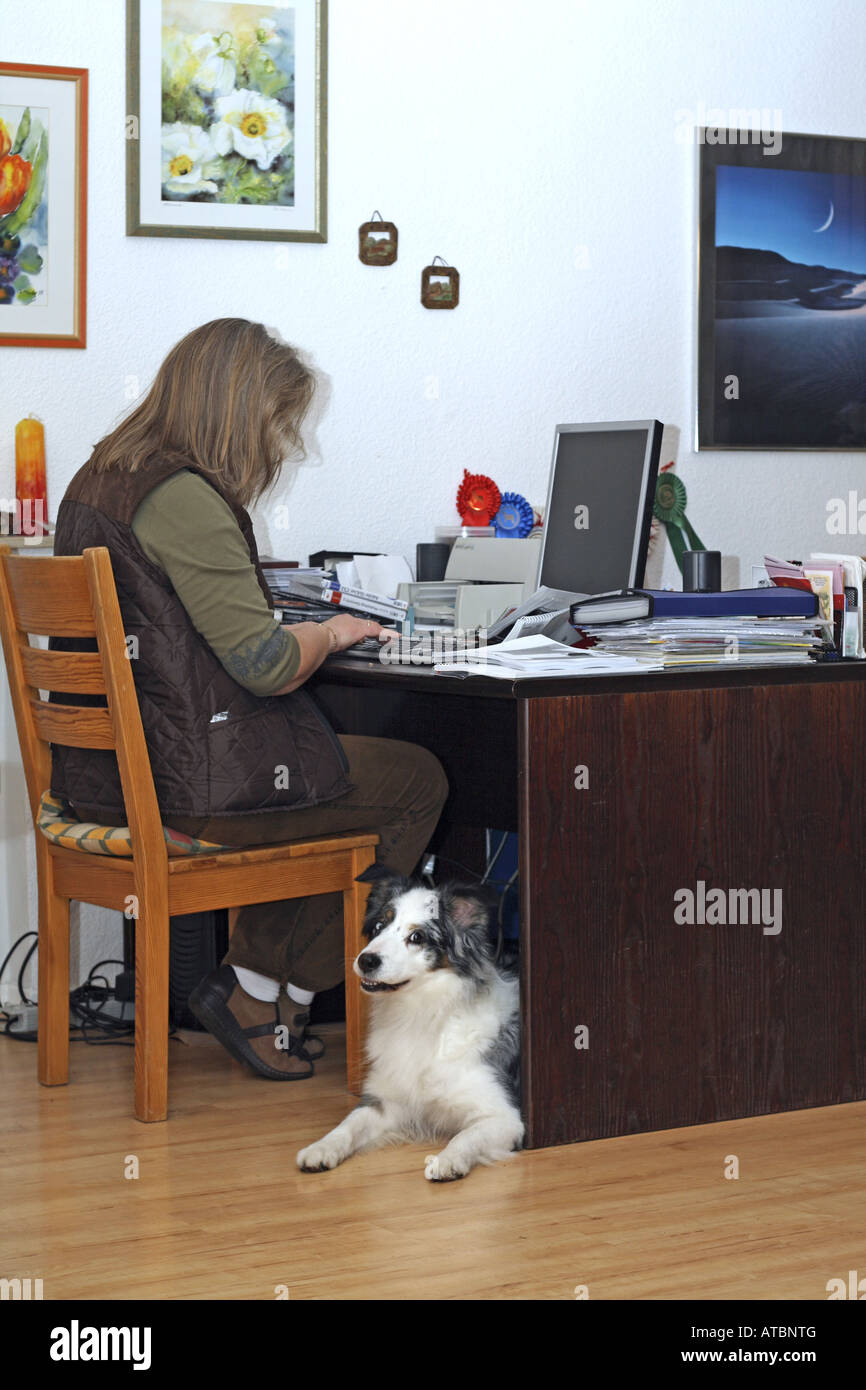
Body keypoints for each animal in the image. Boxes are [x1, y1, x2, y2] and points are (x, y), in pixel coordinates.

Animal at [297, 872, 525, 1178]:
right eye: (379, 926)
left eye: (417, 937)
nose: (366, 960)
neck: (422, 1012)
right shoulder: (385, 1101)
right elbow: (348, 1124)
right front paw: (320, 1148)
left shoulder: (505, 1117)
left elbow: (466, 1136)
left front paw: (447, 1160)